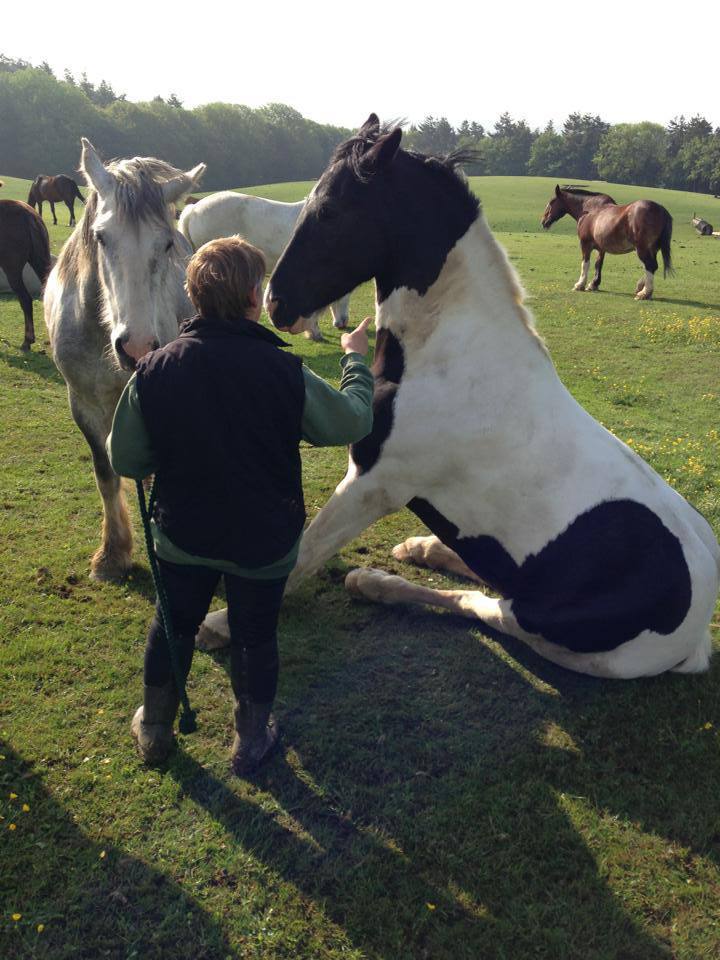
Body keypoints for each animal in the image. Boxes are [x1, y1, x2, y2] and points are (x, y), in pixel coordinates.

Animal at [45, 140, 205, 580]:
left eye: (165, 245)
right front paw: (112, 554)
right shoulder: (83, 404)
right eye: (101, 237)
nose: (136, 347)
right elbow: (105, 473)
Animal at [540, 183, 676, 296]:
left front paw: (580, 284)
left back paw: (644, 293)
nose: (543, 221)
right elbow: (598, 264)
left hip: (642, 249)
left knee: (649, 265)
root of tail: (661, 209)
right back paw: (641, 287)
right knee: (653, 266)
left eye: (551, 202)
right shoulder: (601, 248)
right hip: (652, 249)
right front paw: (593, 284)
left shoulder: (585, 244)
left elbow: (585, 263)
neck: (589, 210)